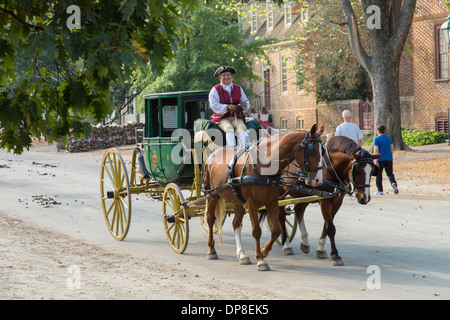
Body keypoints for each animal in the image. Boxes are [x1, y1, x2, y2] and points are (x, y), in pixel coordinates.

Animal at [203, 124, 324, 270]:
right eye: (312, 150)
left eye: (323, 151)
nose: (318, 180)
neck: (264, 166)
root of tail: (213, 154)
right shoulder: (252, 203)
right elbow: (256, 231)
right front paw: (260, 259)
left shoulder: (272, 201)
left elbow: (276, 230)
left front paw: (264, 250)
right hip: (212, 195)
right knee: (210, 220)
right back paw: (211, 250)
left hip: (238, 201)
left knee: (236, 224)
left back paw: (242, 255)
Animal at [282, 135, 380, 264]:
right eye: (357, 170)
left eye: (373, 171)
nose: (365, 198)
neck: (330, 167)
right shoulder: (325, 201)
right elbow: (331, 228)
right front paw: (335, 255)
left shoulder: (337, 201)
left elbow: (327, 225)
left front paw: (321, 249)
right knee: (280, 216)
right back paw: (286, 245)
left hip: (303, 195)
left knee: (299, 211)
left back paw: (305, 242)